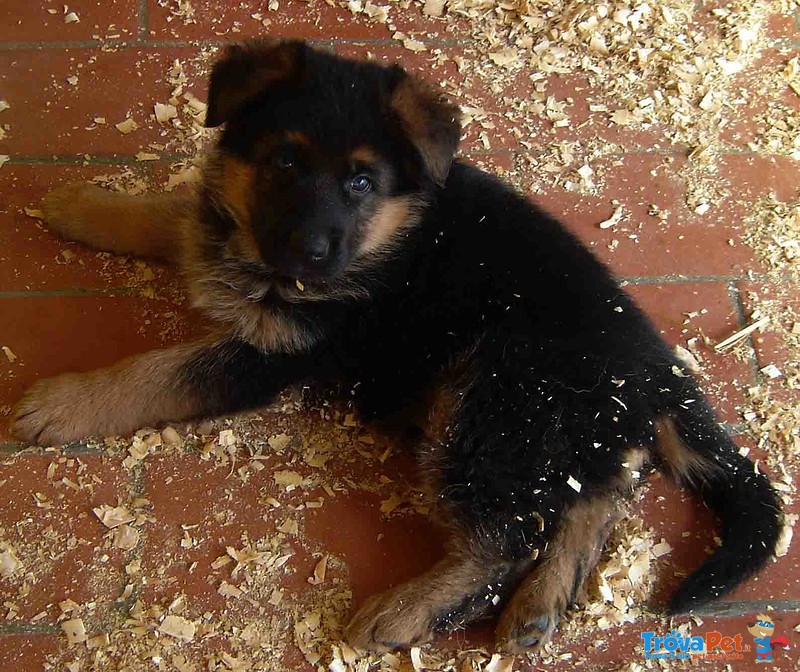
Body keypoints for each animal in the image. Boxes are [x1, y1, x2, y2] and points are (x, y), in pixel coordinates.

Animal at [10, 40, 780, 652]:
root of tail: (654, 368)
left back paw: (406, 611)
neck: (389, 238)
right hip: (562, 429)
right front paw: (87, 206)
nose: (309, 255)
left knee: (510, 537)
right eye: (283, 162)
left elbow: (159, 372)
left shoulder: (275, 350)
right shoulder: (232, 235)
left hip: (489, 399)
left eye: (361, 182)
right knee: (591, 500)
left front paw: (63, 402)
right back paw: (539, 607)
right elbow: (171, 215)